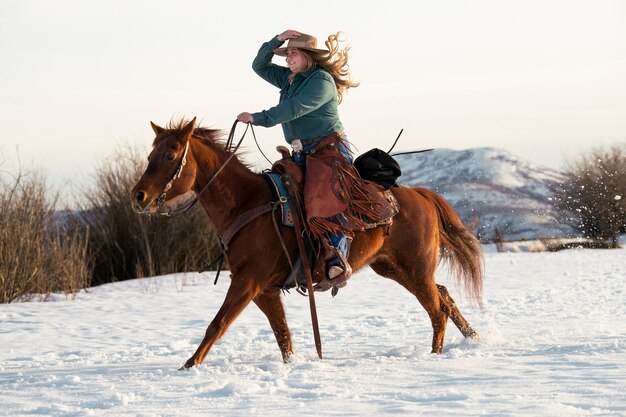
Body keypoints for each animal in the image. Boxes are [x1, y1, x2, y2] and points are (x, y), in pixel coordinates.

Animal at [132, 117, 482, 368]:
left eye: (170, 155)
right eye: (150, 155)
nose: (139, 195)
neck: (246, 204)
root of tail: (420, 195)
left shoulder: (247, 282)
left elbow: (217, 325)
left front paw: (187, 367)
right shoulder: (265, 290)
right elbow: (282, 336)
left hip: (416, 268)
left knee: (436, 310)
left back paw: (434, 358)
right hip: (394, 268)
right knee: (444, 296)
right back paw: (474, 337)